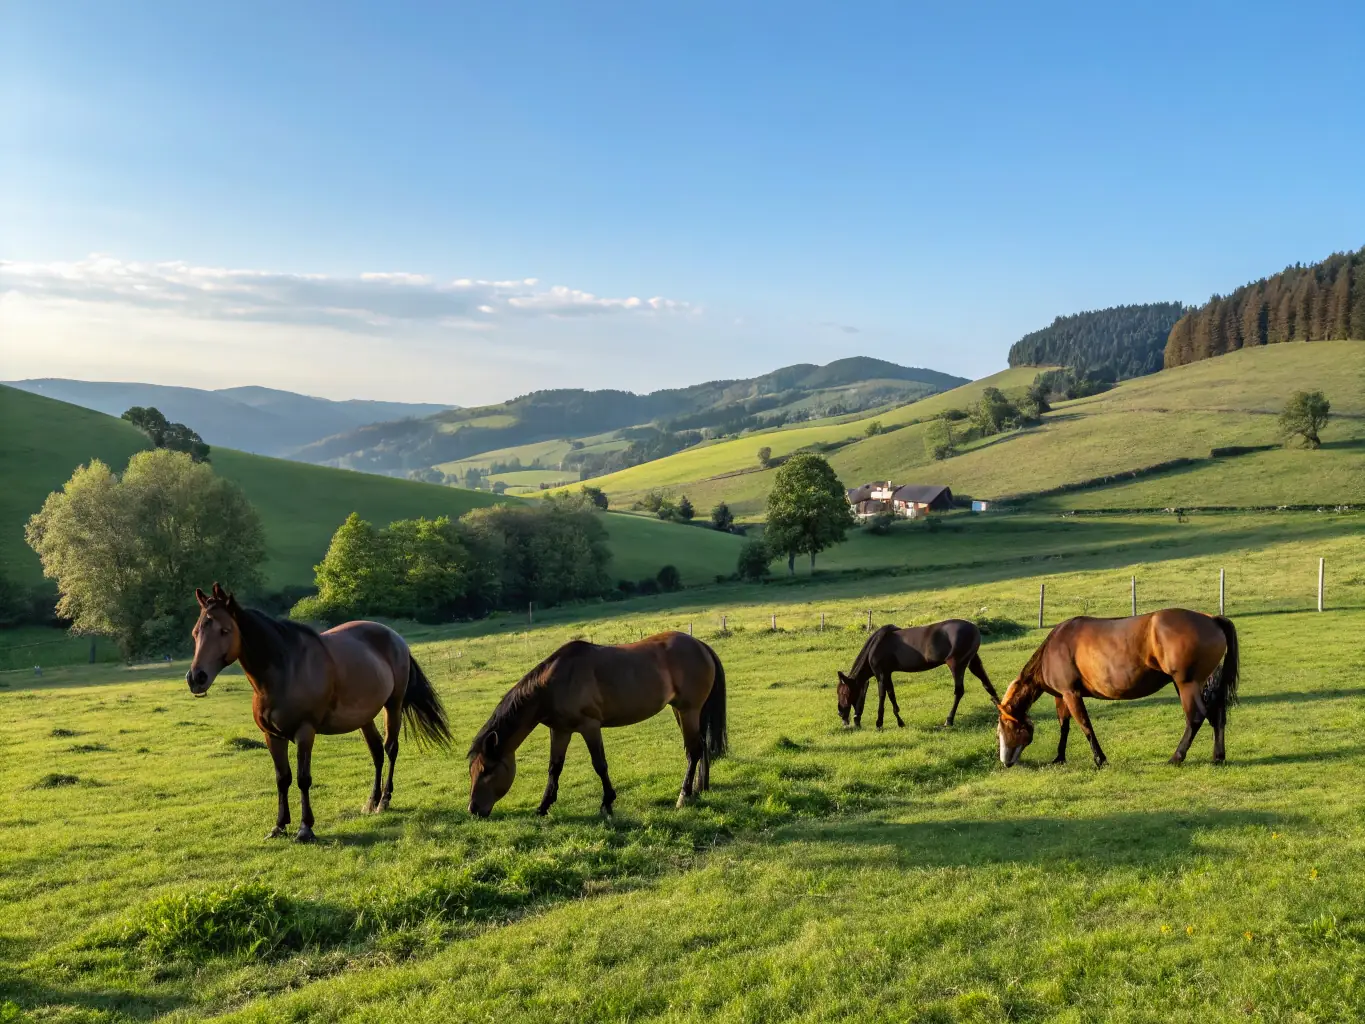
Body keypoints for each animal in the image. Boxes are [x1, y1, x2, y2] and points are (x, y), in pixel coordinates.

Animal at [187, 583, 452, 841]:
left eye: (224, 630)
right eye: (196, 632)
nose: (196, 678)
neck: (286, 669)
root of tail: (395, 638)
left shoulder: (305, 732)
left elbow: (303, 779)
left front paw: (305, 828)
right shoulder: (272, 736)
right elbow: (282, 778)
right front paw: (279, 826)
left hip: (393, 706)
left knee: (390, 749)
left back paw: (384, 801)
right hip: (365, 717)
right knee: (376, 752)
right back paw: (371, 802)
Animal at [467, 631, 726, 818]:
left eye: (487, 770)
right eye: (471, 771)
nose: (473, 809)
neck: (553, 684)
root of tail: (700, 644)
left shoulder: (589, 726)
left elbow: (599, 765)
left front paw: (607, 803)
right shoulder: (560, 730)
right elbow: (554, 767)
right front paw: (543, 806)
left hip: (688, 710)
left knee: (693, 750)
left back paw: (683, 796)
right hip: (682, 711)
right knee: (700, 746)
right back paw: (698, 788)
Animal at [837, 621, 999, 729]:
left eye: (843, 693)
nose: (841, 714)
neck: (875, 646)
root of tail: (975, 628)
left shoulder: (881, 674)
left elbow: (883, 697)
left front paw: (879, 723)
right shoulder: (887, 674)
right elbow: (891, 695)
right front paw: (900, 721)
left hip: (956, 665)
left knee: (959, 691)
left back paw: (949, 719)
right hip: (973, 661)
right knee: (987, 683)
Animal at [996, 608, 1238, 768]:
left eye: (1005, 728)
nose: (1005, 762)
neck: (1053, 648)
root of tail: (1212, 619)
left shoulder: (1071, 694)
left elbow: (1085, 726)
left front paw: (1099, 759)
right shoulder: (1061, 696)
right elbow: (1065, 726)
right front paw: (1059, 757)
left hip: (1186, 684)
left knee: (1196, 717)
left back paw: (1176, 757)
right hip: (1199, 685)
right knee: (1217, 716)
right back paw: (1218, 756)